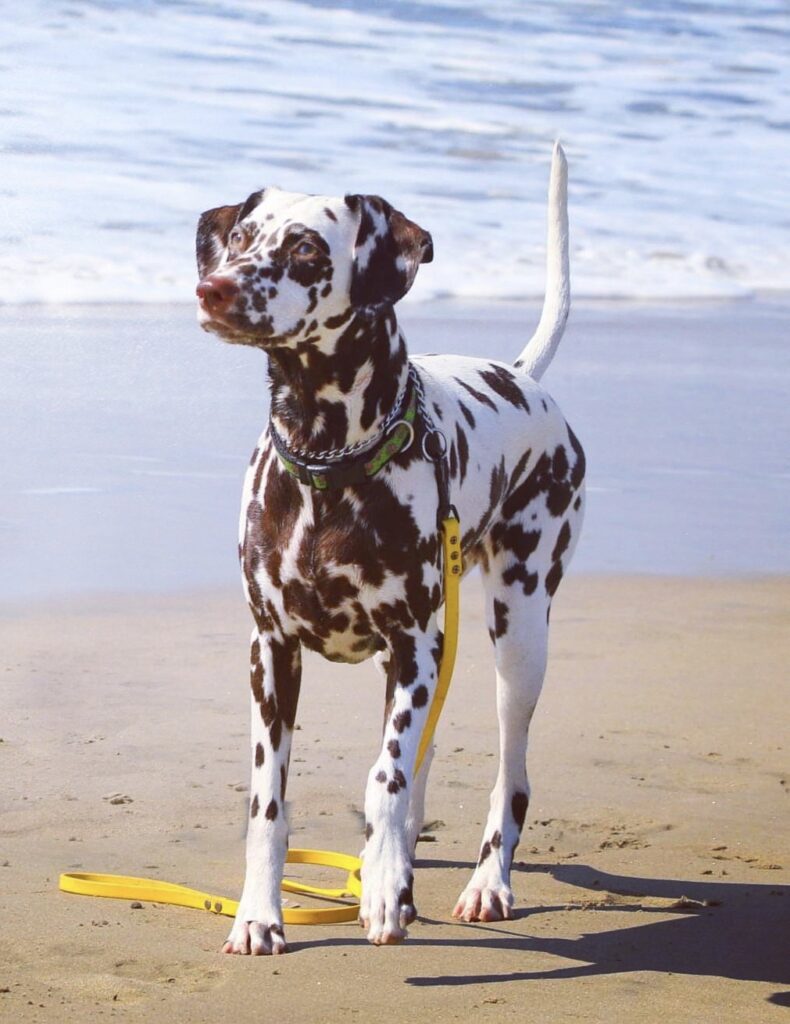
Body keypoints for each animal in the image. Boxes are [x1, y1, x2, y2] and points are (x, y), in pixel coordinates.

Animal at [194, 142, 581, 950]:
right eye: (241, 237)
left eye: (306, 249)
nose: (213, 288)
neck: (327, 464)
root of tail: (522, 377)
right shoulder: (272, 654)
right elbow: (269, 807)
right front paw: (259, 914)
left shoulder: (412, 647)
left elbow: (386, 778)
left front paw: (378, 880)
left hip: (518, 640)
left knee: (507, 781)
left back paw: (481, 882)